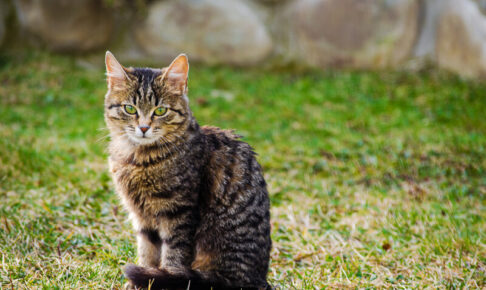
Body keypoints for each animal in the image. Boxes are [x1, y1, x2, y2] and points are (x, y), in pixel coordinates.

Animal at [104, 52, 272, 290]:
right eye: (130, 109)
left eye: (160, 111)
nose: (144, 128)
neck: (138, 158)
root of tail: (256, 279)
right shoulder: (141, 216)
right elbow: (147, 251)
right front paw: (141, 281)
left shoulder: (179, 212)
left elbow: (173, 256)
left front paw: (162, 278)